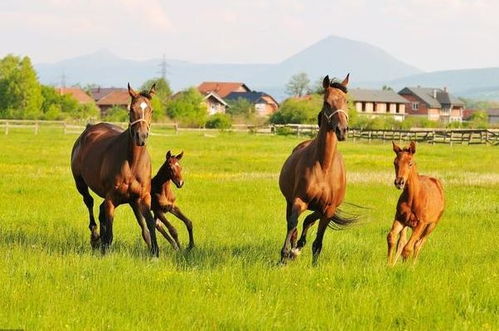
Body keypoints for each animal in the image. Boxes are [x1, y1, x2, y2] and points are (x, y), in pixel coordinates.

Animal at [70, 83, 158, 256]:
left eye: (150, 110)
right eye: (132, 109)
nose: (141, 136)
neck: (132, 163)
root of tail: (89, 129)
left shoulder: (142, 197)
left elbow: (149, 225)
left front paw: (155, 252)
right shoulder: (111, 198)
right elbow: (110, 231)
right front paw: (105, 250)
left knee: (100, 210)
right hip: (80, 183)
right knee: (89, 203)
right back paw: (95, 237)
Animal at [278, 74, 356, 266]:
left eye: (346, 101)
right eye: (327, 102)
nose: (342, 130)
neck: (324, 166)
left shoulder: (328, 209)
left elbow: (317, 241)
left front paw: (312, 264)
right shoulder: (299, 201)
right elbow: (292, 224)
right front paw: (284, 256)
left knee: (308, 221)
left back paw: (298, 248)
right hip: (290, 201)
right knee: (293, 223)